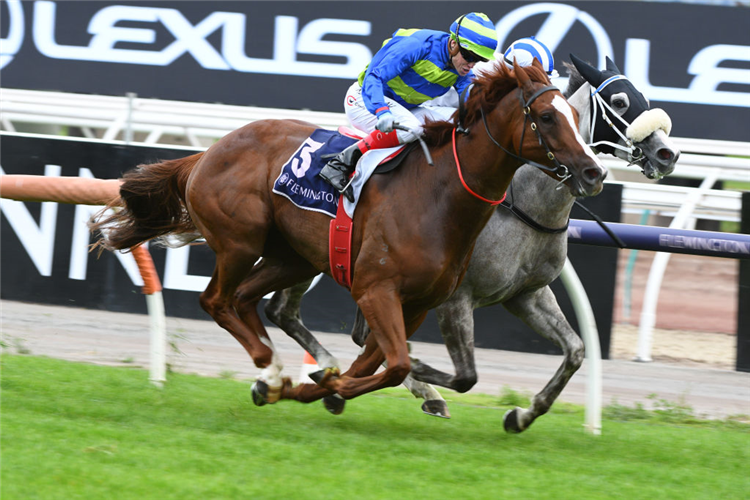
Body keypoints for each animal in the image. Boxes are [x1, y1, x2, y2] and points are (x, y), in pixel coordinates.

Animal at [91, 61, 608, 406]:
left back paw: (274, 378)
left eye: (576, 118)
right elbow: (395, 363)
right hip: (240, 241)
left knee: (243, 299)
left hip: (291, 257)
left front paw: (321, 386)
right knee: (217, 300)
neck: (437, 197)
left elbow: (381, 364)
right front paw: (327, 385)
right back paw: (271, 370)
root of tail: (206, 152)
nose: (593, 172)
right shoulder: (377, 289)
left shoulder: (419, 302)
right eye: (546, 118)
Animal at [264, 53, 680, 430]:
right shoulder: (453, 297)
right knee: (286, 311)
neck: (521, 203)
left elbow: (576, 350)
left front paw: (521, 415)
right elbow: (461, 373)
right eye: (620, 102)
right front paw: (412, 382)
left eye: (643, 96)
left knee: (284, 312)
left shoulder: (527, 294)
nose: (668, 153)